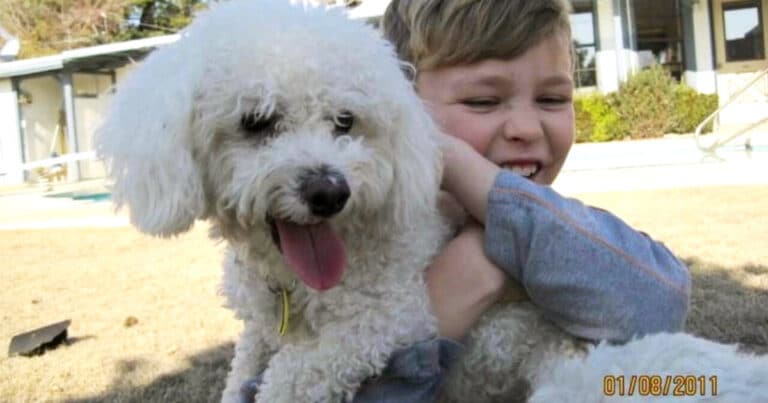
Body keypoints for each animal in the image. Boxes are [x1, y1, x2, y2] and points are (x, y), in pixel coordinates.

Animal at [96, 0, 768, 403]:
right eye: (256, 122)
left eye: (346, 122)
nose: (330, 190)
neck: (292, 285)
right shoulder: (260, 326)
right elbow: (248, 364)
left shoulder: (388, 317)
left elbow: (296, 372)